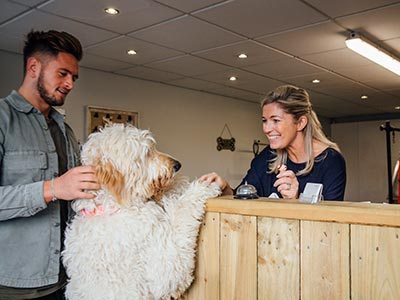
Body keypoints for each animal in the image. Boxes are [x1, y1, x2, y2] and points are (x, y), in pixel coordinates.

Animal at [63, 123, 220, 298]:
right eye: (147, 153)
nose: (178, 165)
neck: (112, 206)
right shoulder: (164, 269)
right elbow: (181, 212)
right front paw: (202, 187)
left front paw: (181, 183)